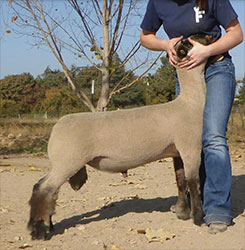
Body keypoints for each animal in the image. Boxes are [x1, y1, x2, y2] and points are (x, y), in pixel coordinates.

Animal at [27, 34, 216, 239]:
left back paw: (48, 226)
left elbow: (180, 181)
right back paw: (38, 230)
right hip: (68, 161)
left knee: (51, 191)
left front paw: (182, 212)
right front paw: (198, 217)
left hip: (64, 163)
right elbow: (193, 182)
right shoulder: (190, 147)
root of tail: (57, 126)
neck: (190, 103)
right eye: (197, 38)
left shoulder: (177, 152)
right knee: (43, 189)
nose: (215, 35)